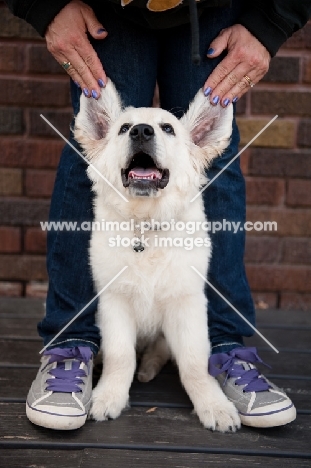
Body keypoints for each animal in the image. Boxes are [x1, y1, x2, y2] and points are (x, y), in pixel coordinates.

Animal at [75, 79, 241, 432]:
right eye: (124, 128)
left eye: (167, 129)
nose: (141, 131)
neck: (146, 227)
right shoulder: (114, 301)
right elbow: (120, 355)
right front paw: (109, 396)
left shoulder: (187, 302)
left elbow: (194, 361)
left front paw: (214, 405)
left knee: (163, 349)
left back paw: (150, 365)